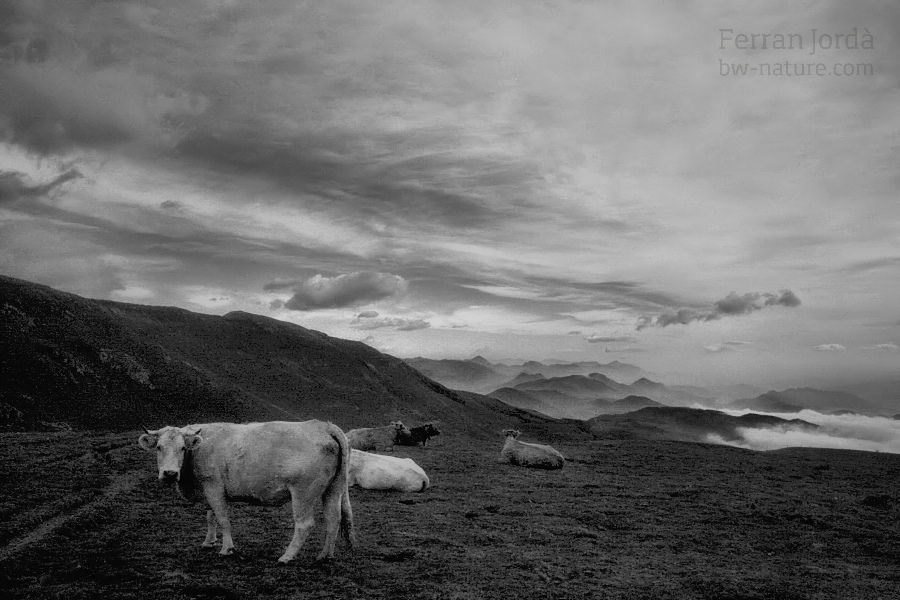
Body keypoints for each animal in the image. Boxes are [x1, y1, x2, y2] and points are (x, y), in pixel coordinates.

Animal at [137, 420, 355, 563]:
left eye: (182, 448)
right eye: (159, 447)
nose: (170, 473)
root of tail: (321, 425)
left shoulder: (214, 487)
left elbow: (222, 518)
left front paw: (227, 548)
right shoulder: (208, 488)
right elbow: (210, 517)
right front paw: (209, 541)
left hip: (303, 492)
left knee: (305, 524)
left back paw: (287, 556)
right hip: (333, 488)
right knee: (333, 519)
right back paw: (325, 555)